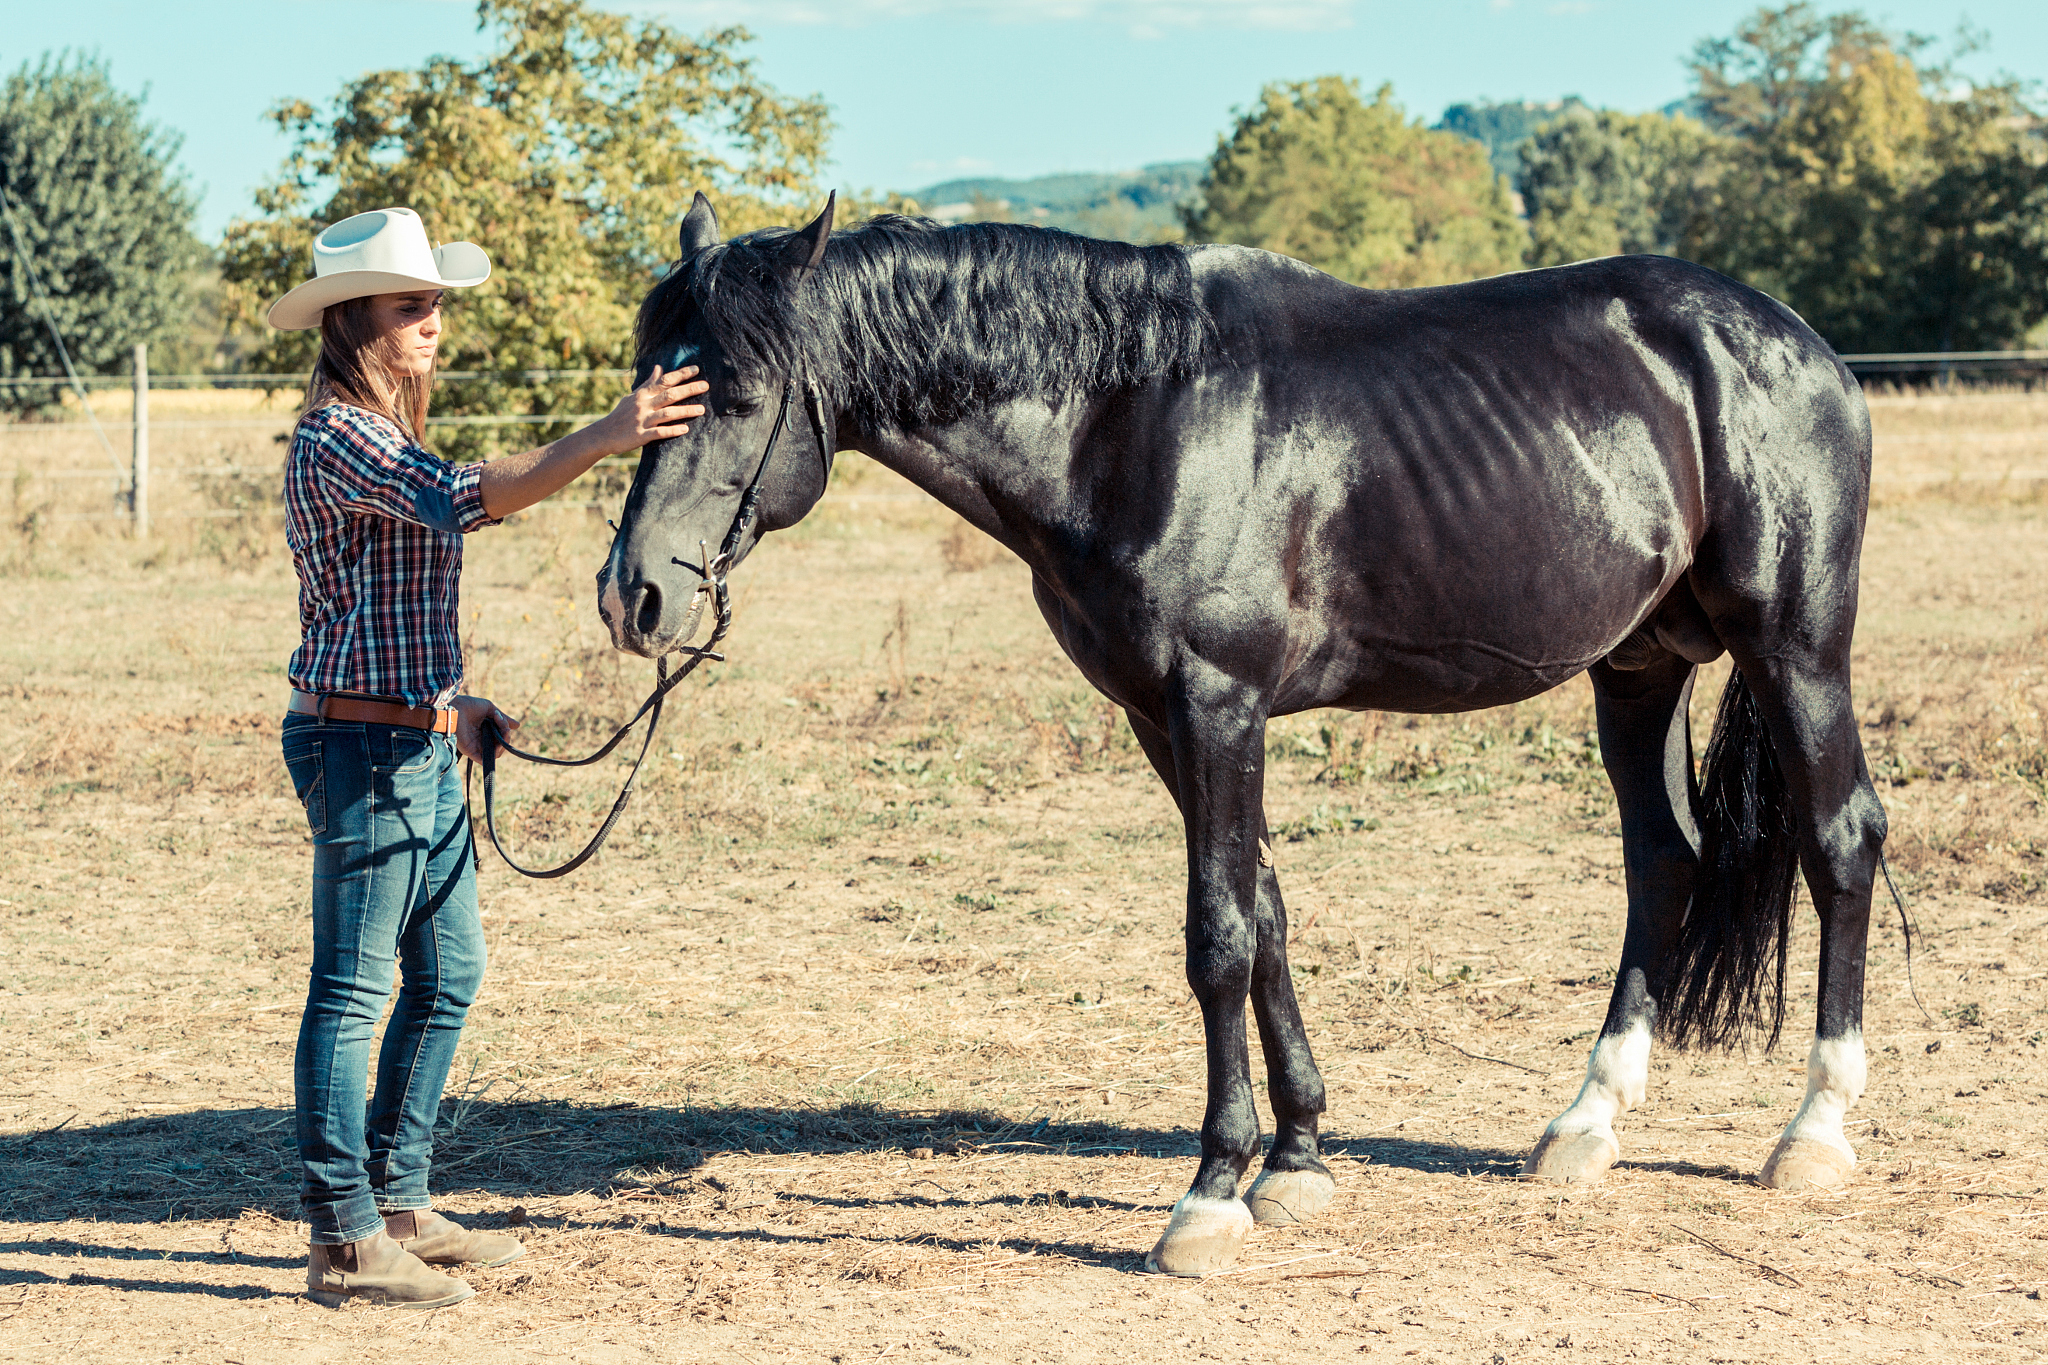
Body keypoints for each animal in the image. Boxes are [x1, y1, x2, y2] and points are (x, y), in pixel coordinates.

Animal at [596, 191, 1887, 1277]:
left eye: (740, 399)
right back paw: (1584, 1124)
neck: (1127, 419)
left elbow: (1214, 936)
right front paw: (1298, 1161)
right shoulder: (1160, 720)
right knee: (1662, 859)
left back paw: (1813, 1133)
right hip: (1637, 666)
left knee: (1839, 840)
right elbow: (1264, 913)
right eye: (646, 384)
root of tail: (1796, 344)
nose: (632, 597)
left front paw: (1210, 1194)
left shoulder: (1215, 703)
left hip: (1791, 647)